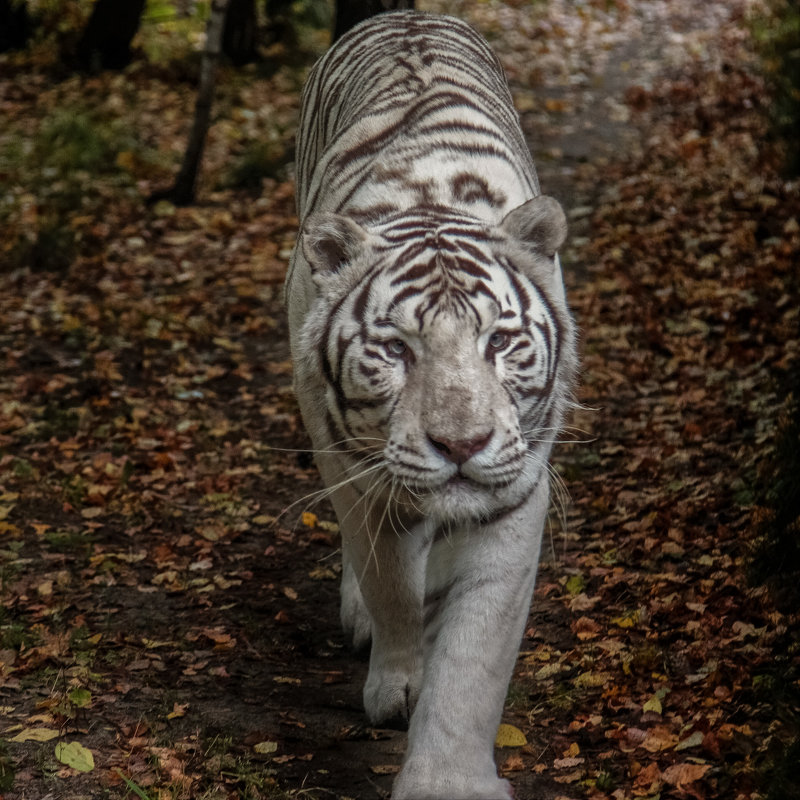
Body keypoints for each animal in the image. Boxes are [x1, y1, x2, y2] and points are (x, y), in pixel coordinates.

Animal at [284, 9, 580, 796]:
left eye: (500, 342)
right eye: (395, 350)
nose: (461, 446)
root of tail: (405, 14)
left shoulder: (516, 489)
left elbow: (474, 655)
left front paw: (447, 779)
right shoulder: (359, 472)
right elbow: (391, 581)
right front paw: (398, 684)